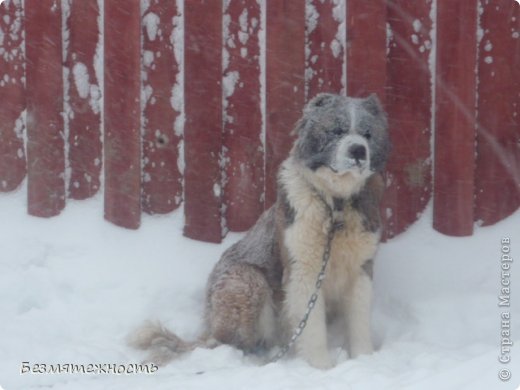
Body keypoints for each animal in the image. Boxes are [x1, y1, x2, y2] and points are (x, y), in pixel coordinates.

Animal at [129, 93, 390, 368]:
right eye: (337, 130)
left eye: (367, 134)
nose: (358, 150)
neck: (335, 205)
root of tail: (209, 326)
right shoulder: (304, 272)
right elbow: (312, 329)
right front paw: (321, 367)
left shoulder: (361, 270)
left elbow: (359, 321)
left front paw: (364, 359)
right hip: (246, 281)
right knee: (227, 341)